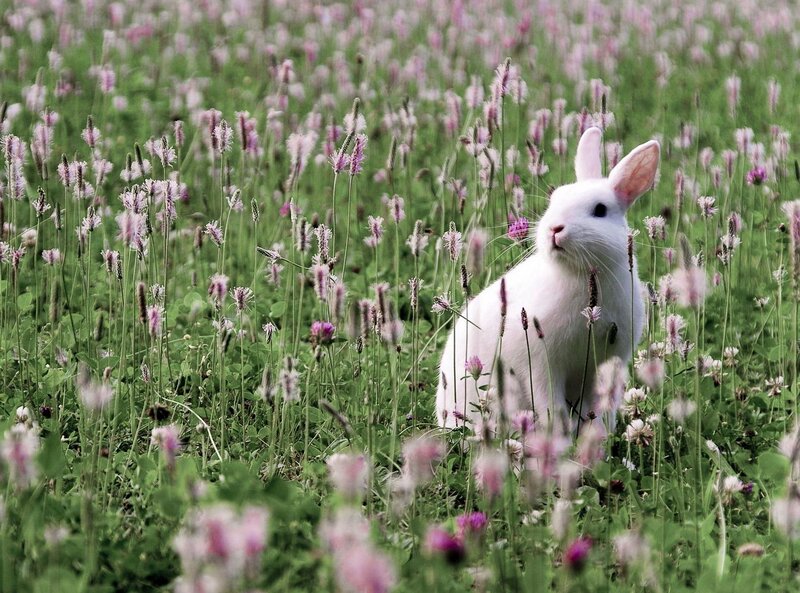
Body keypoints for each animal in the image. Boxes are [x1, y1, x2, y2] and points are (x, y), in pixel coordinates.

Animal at [436, 127, 660, 435]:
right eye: (555, 200)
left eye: (600, 210)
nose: (555, 228)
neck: (579, 275)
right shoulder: (541, 365)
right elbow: (549, 405)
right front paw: (560, 437)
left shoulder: (608, 362)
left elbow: (601, 407)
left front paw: (597, 437)